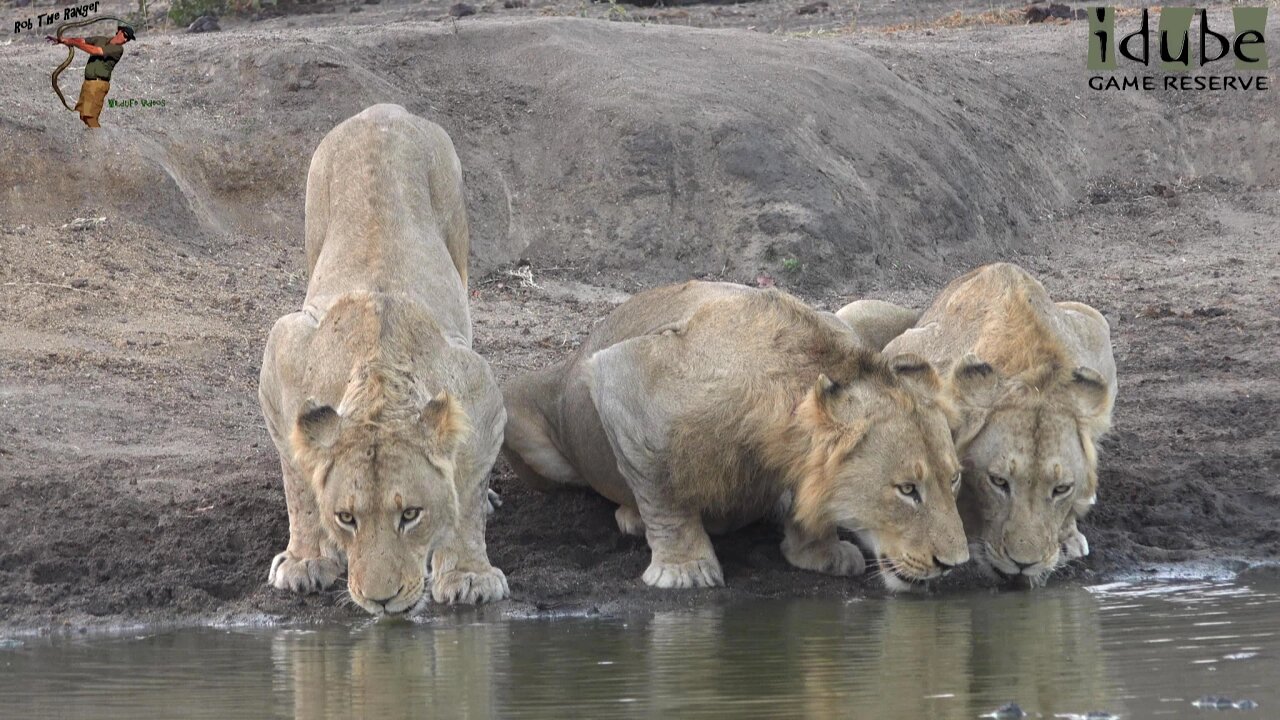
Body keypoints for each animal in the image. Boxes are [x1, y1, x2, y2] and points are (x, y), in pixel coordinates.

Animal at [257, 102, 506, 609]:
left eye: (410, 514)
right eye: (346, 517)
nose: (382, 600)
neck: (377, 378)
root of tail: (383, 110)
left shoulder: (480, 392)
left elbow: (467, 493)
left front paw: (468, 575)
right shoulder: (282, 355)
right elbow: (298, 480)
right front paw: (306, 560)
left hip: (457, 232)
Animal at [499, 280, 967, 589]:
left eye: (955, 479)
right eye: (907, 490)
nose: (954, 564)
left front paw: (819, 553)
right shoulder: (626, 376)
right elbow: (662, 488)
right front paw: (684, 569)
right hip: (518, 409)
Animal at [834, 263, 1116, 584]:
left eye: (1061, 489)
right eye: (998, 482)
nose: (1024, 564)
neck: (1032, 371)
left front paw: (1068, 534)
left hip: (1092, 319)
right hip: (854, 311)